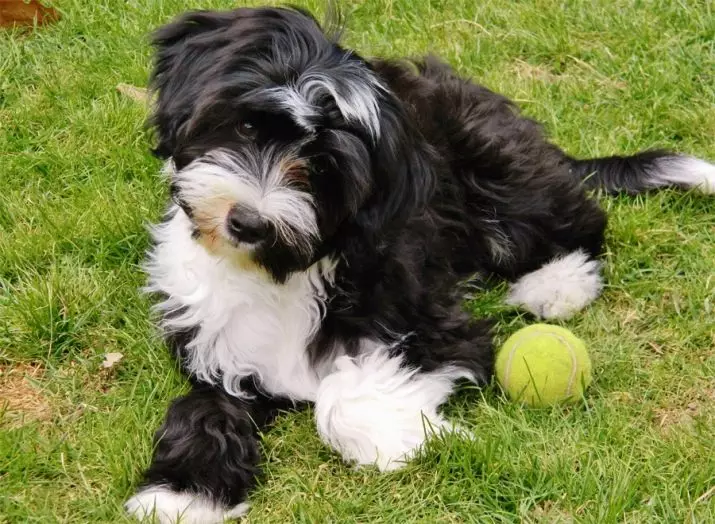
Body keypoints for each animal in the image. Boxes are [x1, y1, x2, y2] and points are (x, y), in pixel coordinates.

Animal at [124, 5, 715, 524]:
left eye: (322, 166)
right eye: (247, 127)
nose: (247, 223)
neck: (282, 270)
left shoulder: (434, 324)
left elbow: (340, 400)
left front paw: (403, 438)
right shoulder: (214, 339)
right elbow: (205, 408)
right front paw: (183, 495)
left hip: (498, 170)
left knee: (579, 221)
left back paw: (557, 283)